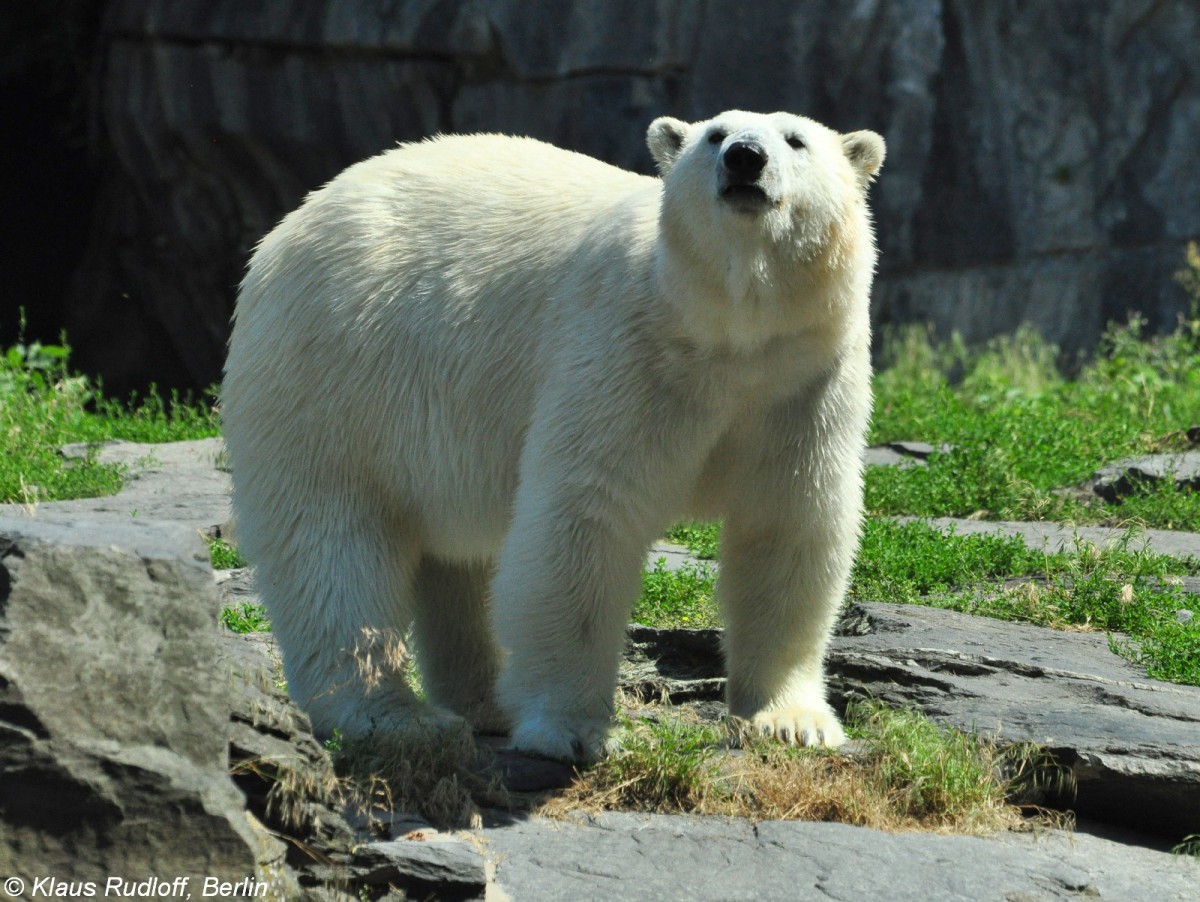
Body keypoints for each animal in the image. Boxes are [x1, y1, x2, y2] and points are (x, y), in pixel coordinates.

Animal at [223, 110, 883, 762]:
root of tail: (290, 224)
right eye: (715, 135)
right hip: (330, 374)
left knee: (456, 560)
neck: (728, 336)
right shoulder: (626, 353)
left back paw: (485, 703)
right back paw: (394, 718)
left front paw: (792, 721)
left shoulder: (801, 383)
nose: (745, 157)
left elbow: (789, 526)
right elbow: (585, 519)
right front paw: (572, 730)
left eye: (796, 140)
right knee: (331, 541)